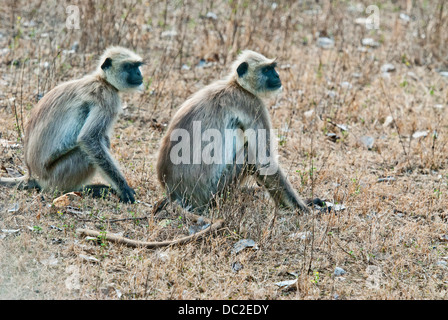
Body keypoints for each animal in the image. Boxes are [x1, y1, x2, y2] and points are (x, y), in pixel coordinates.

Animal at [0, 45, 144, 202]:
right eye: (129, 66)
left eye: (137, 66)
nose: (139, 73)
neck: (102, 80)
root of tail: (33, 175)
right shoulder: (108, 98)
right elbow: (88, 139)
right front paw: (123, 189)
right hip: (57, 176)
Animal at [156, 50, 310, 214]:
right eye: (267, 70)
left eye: (273, 68)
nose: (277, 76)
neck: (237, 86)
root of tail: (174, 194)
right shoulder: (252, 104)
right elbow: (264, 159)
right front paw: (303, 208)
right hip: (212, 192)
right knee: (249, 153)